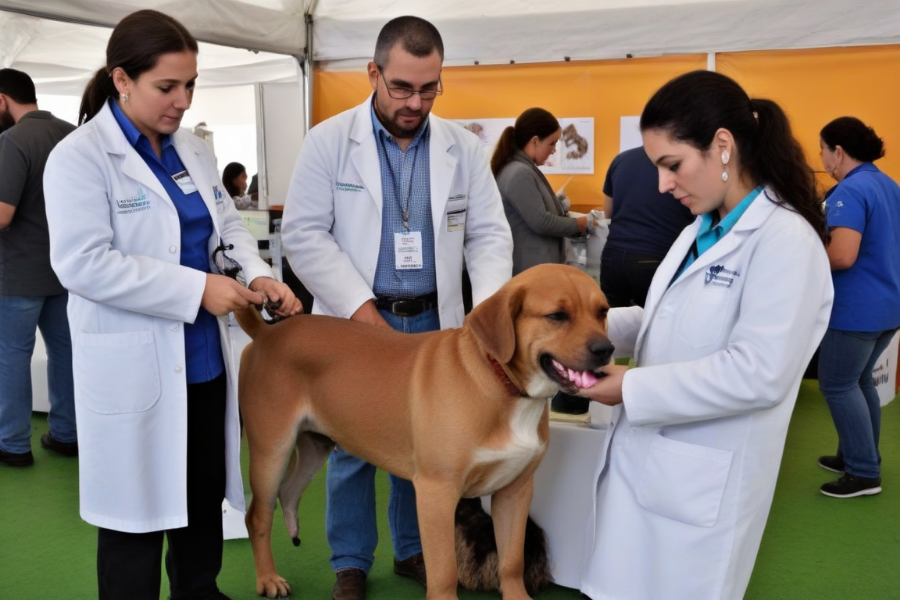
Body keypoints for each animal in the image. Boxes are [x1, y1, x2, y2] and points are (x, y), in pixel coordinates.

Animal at [234, 264, 612, 596]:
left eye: (603, 311)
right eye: (557, 316)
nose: (606, 350)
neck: (500, 383)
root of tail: (267, 333)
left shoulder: (515, 491)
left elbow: (511, 563)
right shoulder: (436, 492)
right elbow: (444, 573)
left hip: (315, 445)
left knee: (288, 493)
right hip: (271, 450)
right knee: (258, 516)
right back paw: (268, 579)